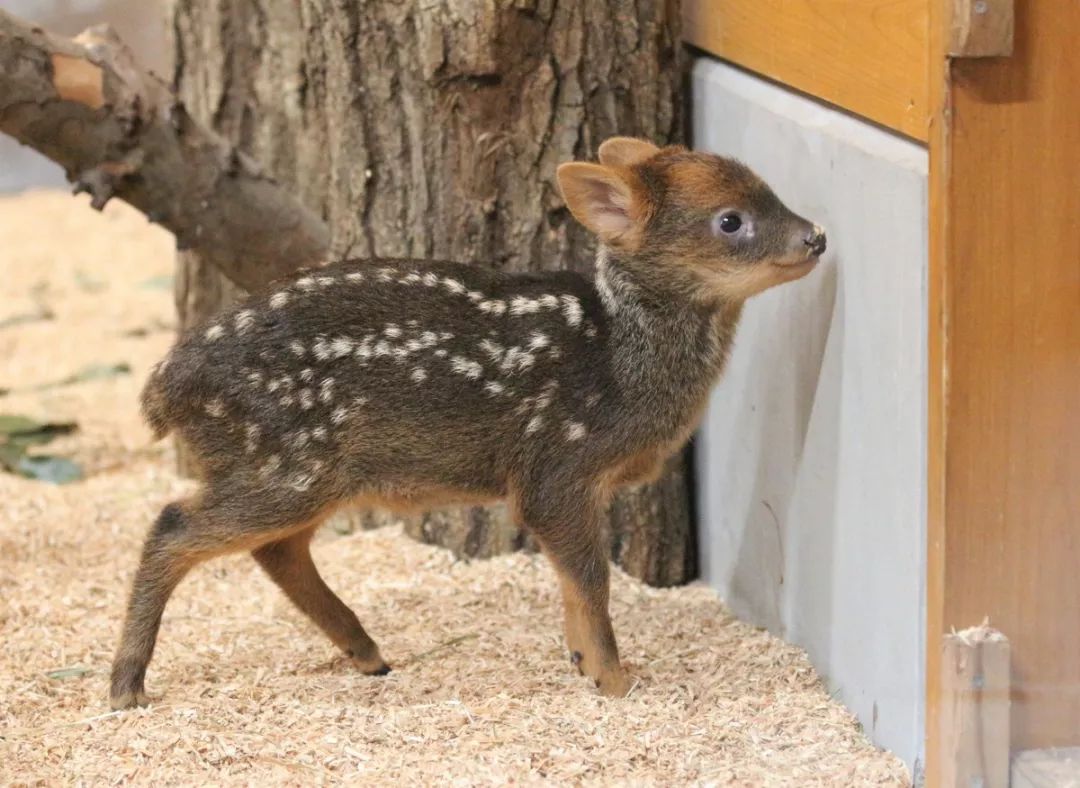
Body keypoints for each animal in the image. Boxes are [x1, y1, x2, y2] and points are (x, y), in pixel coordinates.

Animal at [111, 134, 825, 708]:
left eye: (769, 189)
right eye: (730, 220)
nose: (816, 236)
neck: (620, 355)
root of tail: (165, 387)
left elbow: (574, 583)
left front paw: (583, 665)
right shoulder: (556, 467)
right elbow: (590, 578)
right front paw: (617, 681)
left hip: (303, 473)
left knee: (276, 550)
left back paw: (368, 653)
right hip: (283, 462)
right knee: (174, 527)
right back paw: (127, 687)